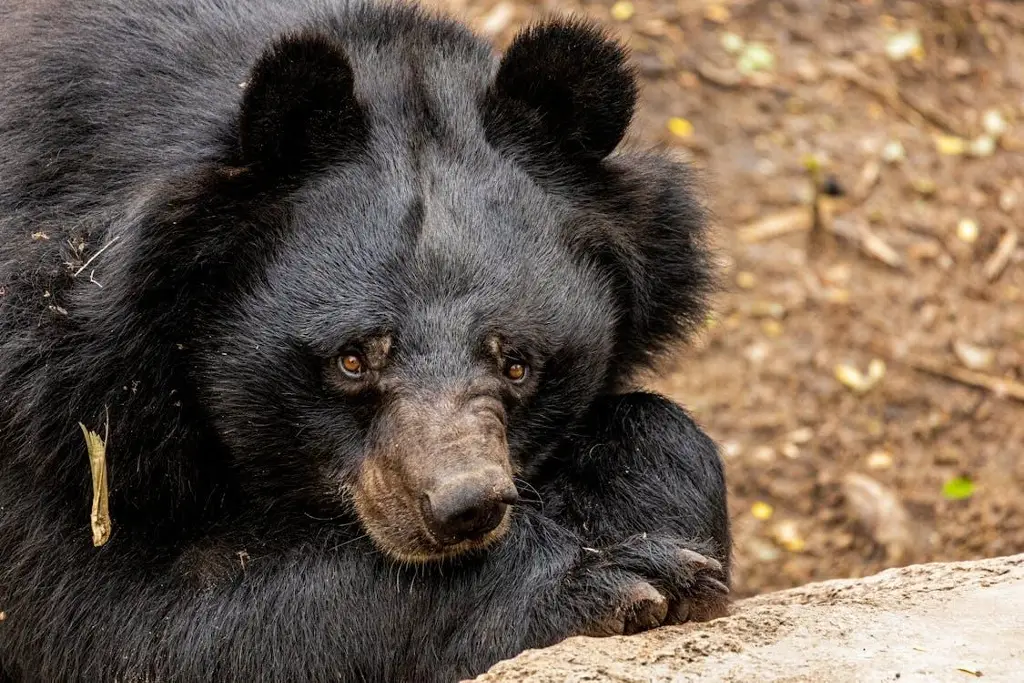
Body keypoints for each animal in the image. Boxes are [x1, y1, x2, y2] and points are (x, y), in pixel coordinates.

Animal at [4, 0, 733, 679]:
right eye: (351, 360)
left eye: (518, 364)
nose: (464, 507)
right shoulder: (51, 401)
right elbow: (120, 625)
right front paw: (618, 579)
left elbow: (663, 434)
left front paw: (660, 534)